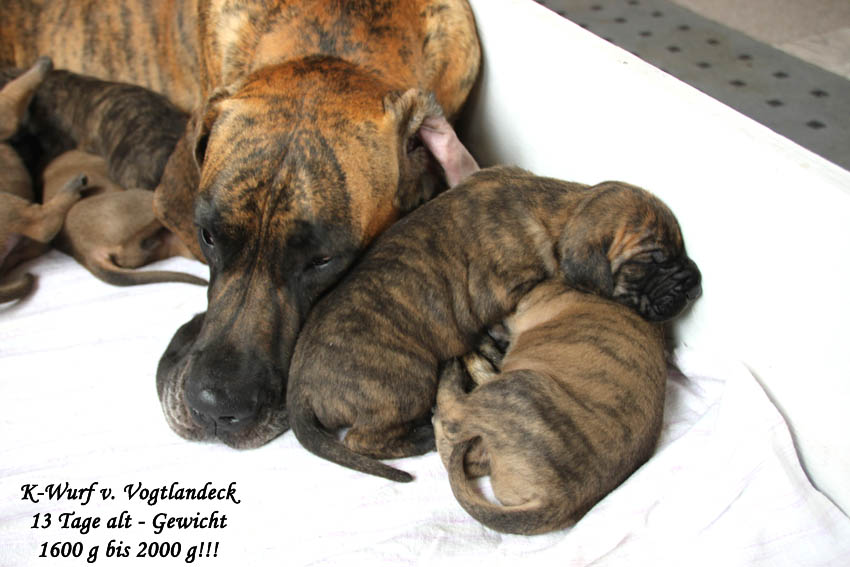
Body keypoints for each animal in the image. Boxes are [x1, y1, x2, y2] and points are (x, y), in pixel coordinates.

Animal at [0, 56, 87, 302]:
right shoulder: (5, 110)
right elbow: (18, 86)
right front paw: (41, 65)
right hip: (5, 204)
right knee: (42, 224)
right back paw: (71, 189)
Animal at [286, 166, 702, 481]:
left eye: (681, 248)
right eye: (655, 261)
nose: (695, 283)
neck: (561, 210)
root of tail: (300, 389)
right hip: (406, 383)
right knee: (361, 439)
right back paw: (421, 437)